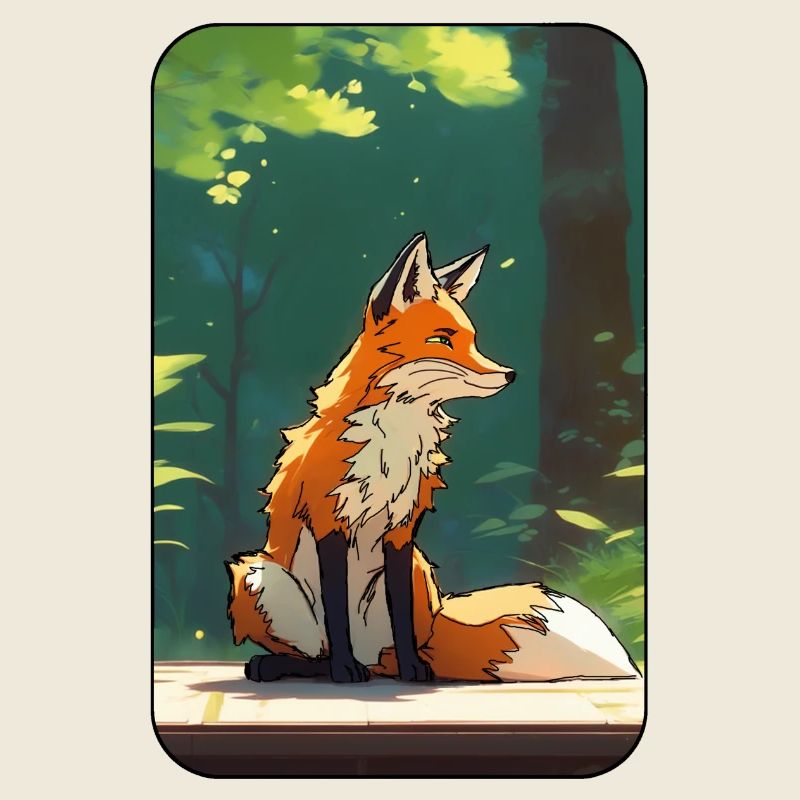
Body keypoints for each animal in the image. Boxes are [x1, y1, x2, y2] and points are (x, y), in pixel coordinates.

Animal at [226, 232, 639, 683]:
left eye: (472, 339)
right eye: (442, 340)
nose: (509, 374)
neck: (395, 440)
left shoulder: (403, 530)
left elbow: (402, 617)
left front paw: (413, 669)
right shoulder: (328, 522)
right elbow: (337, 614)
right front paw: (344, 670)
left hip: (417, 571)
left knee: (383, 652)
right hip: (255, 576)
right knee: (319, 650)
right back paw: (295, 665)